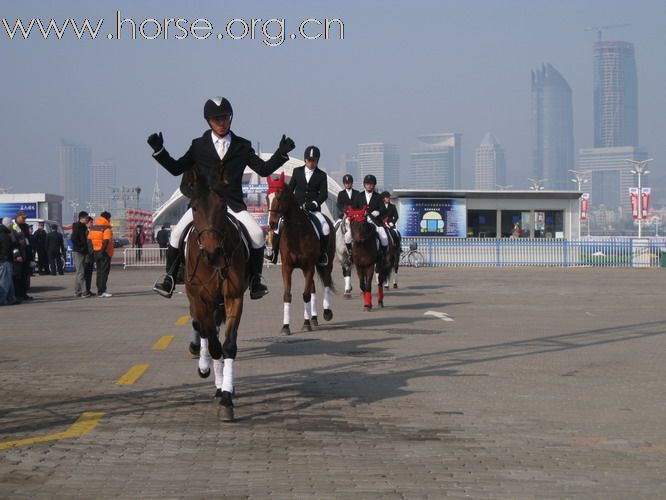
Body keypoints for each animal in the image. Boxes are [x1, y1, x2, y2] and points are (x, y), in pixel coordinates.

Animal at [183, 170, 248, 420]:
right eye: (193, 207)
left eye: (223, 206)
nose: (212, 251)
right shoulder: (200, 301)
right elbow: (212, 344)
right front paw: (219, 386)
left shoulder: (234, 298)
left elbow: (227, 346)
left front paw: (227, 397)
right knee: (202, 329)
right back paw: (203, 366)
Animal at [264, 173, 334, 336]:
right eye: (266, 197)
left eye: (280, 196)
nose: (271, 224)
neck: (296, 233)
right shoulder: (286, 268)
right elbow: (287, 295)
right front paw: (285, 326)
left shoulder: (308, 267)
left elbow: (305, 295)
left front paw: (306, 323)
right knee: (313, 287)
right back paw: (313, 317)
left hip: (327, 262)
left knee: (326, 282)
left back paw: (326, 313)